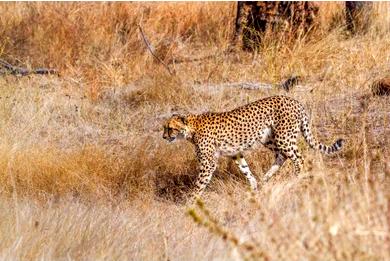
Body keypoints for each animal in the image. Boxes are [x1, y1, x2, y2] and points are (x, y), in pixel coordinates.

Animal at [162, 95, 344, 199]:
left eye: (170, 128)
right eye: (164, 128)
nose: (164, 137)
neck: (191, 128)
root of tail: (294, 100)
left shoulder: (208, 163)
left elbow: (199, 184)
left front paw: (190, 202)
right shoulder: (236, 153)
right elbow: (245, 170)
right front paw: (254, 187)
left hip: (283, 137)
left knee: (299, 158)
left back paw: (297, 178)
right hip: (269, 138)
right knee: (282, 156)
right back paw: (265, 178)